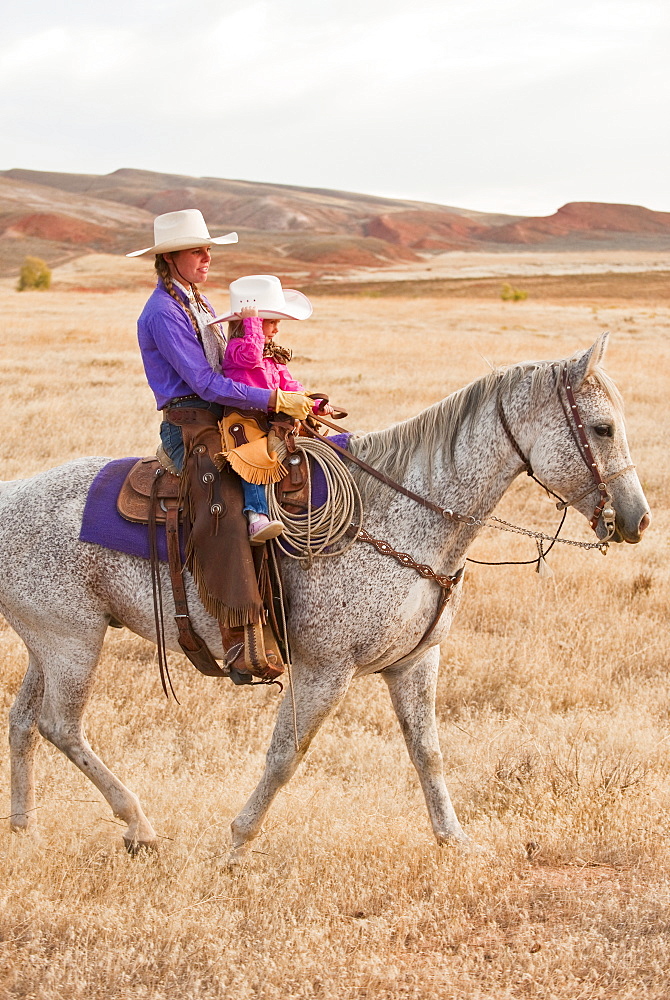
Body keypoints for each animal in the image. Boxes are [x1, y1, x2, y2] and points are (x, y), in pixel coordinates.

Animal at [0, 338, 652, 860]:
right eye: (602, 427)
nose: (638, 519)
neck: (399, 514)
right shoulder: (326, 669)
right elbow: (286, 754)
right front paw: (237, 843)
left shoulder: (416, 662)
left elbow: (428, 752)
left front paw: (456, 841)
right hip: (73, 643)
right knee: (61, 725)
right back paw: (137, 824)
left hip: (48, 645)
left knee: (24, 722)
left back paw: (24, 827)